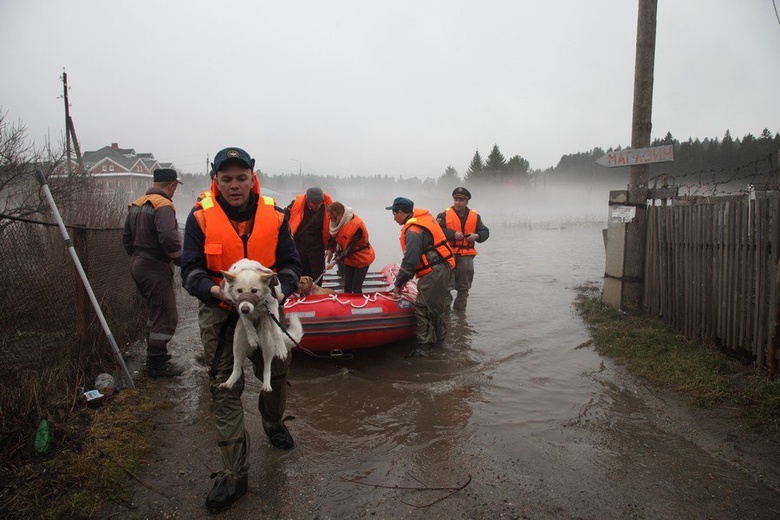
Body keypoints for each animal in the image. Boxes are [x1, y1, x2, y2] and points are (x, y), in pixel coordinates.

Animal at [221, 258, 306, 392]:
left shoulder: (272, 304)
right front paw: (252, 337)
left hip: (268, 343)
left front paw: (281, 348)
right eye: (239, 291)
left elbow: (277, 330)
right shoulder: (238, 305)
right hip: (237, 342)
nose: (246, 309)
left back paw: (266, 384)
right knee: (237, 368)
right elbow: (247, 322)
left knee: (267, 368)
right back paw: (228, 383)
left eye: (254, 290)